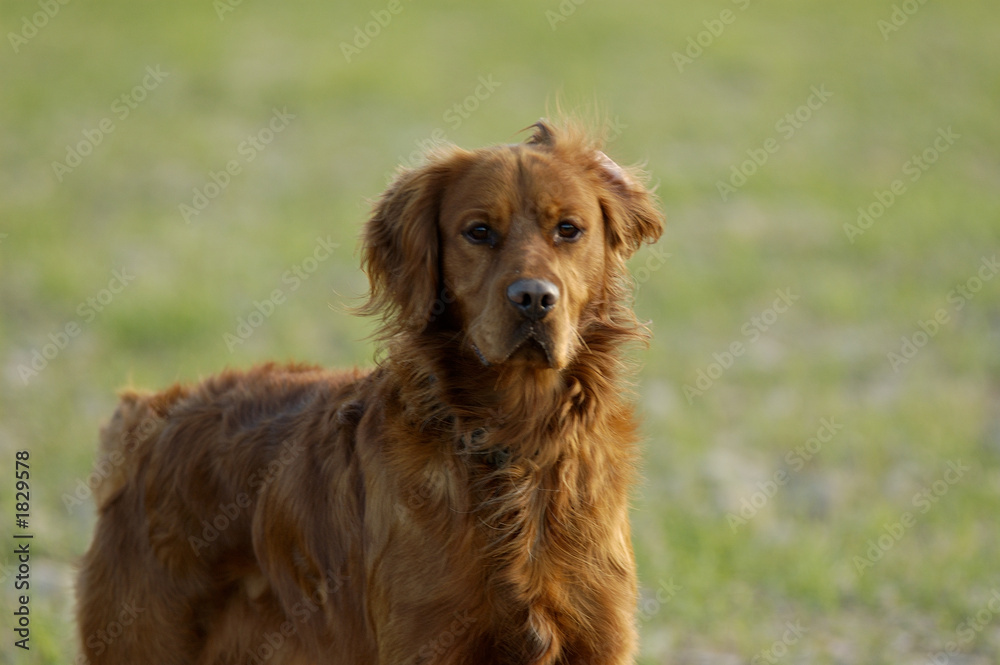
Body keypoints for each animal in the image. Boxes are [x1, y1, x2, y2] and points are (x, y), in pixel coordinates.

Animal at [76, 120, 664, 664]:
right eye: (478, 232)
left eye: (569, 229)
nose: (534, 299)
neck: (515, 440)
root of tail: (151, 418)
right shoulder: (426, 642)